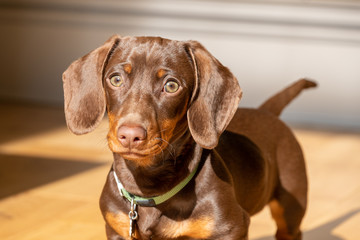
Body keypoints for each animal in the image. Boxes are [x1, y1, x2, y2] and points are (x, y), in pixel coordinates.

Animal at [63, 35, 316, 240]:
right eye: (115, 79)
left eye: (171, 86)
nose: (130, 135)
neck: (149, 189)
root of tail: (266, 112)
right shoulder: (117, 229)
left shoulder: (231, 228)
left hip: (291, 206)